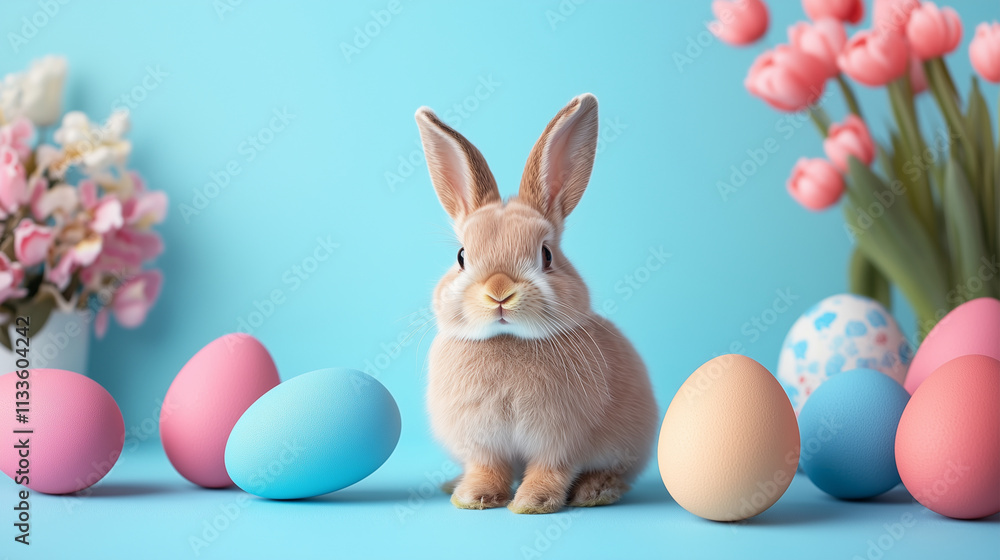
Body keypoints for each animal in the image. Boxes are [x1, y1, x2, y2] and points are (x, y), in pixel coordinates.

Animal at [415, 93, 658, 514]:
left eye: (546, 255)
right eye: (461, 256)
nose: (499, 291)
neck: (508, 340)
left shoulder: (561, 440)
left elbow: (551, 470)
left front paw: (532, 503)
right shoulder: (483, 442)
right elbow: (487, 468)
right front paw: (474, 497)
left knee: (617, 473)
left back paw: (596, 491)